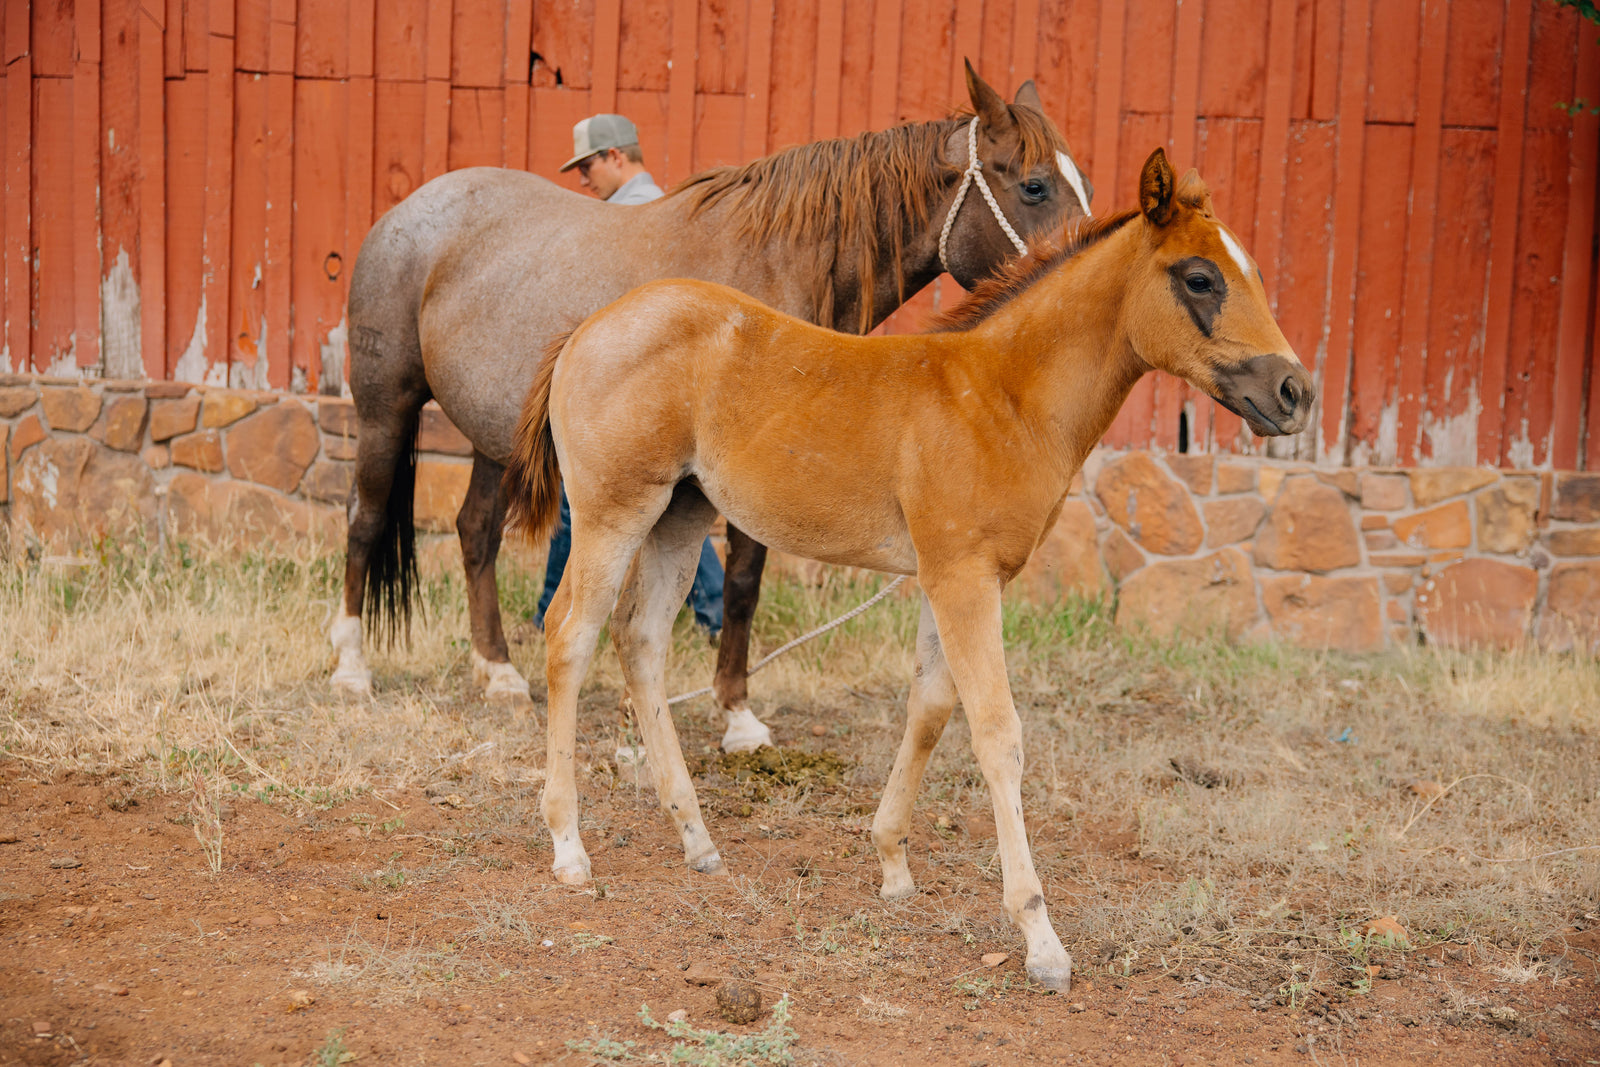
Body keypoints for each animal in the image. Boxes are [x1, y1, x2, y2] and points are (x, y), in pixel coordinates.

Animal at [331, 62, 1093, 758]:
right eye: (1033, 184)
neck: (773, 270)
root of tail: (404, 213)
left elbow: (744, 585)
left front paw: (735, 714)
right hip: (385, 408)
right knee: (366, 519)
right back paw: (351, 670)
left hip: (493, 439)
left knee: (475, 532)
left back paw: (497, 671)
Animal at [502, 147, 1314, 991]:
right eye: (1200, 277)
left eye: (1251, 271)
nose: (1296, 392)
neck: (1003, 394)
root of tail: (588, 328)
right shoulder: (963, 577)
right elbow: (996, 730)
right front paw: (1040, 936)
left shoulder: (946, 575)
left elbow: (929, 707)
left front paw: (892, 863)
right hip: (614, 511)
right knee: (571, 635)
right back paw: (569, 847)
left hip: (681, 515)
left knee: (641, 642)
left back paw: (696, 838)